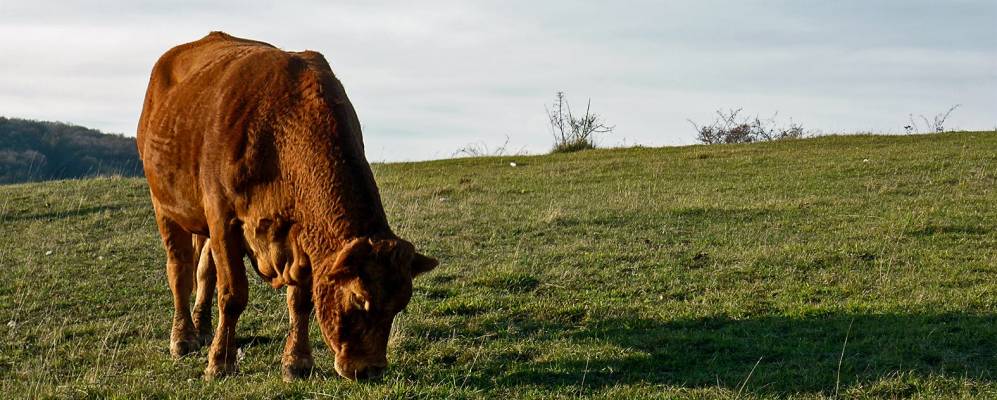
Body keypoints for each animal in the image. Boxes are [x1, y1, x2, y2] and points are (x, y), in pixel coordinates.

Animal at [136, 32, 436, 382]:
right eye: (359, 298)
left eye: (400, 304)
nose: (369, 369)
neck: (280, 132)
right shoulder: (223, 218)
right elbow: (232, 293)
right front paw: (220, 362)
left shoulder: (301, 234)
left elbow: (301, 300)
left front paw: (297, 361)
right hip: (165, 205)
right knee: (180, 269)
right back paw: (183, 337)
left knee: (204, 270)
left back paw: (203, 326)